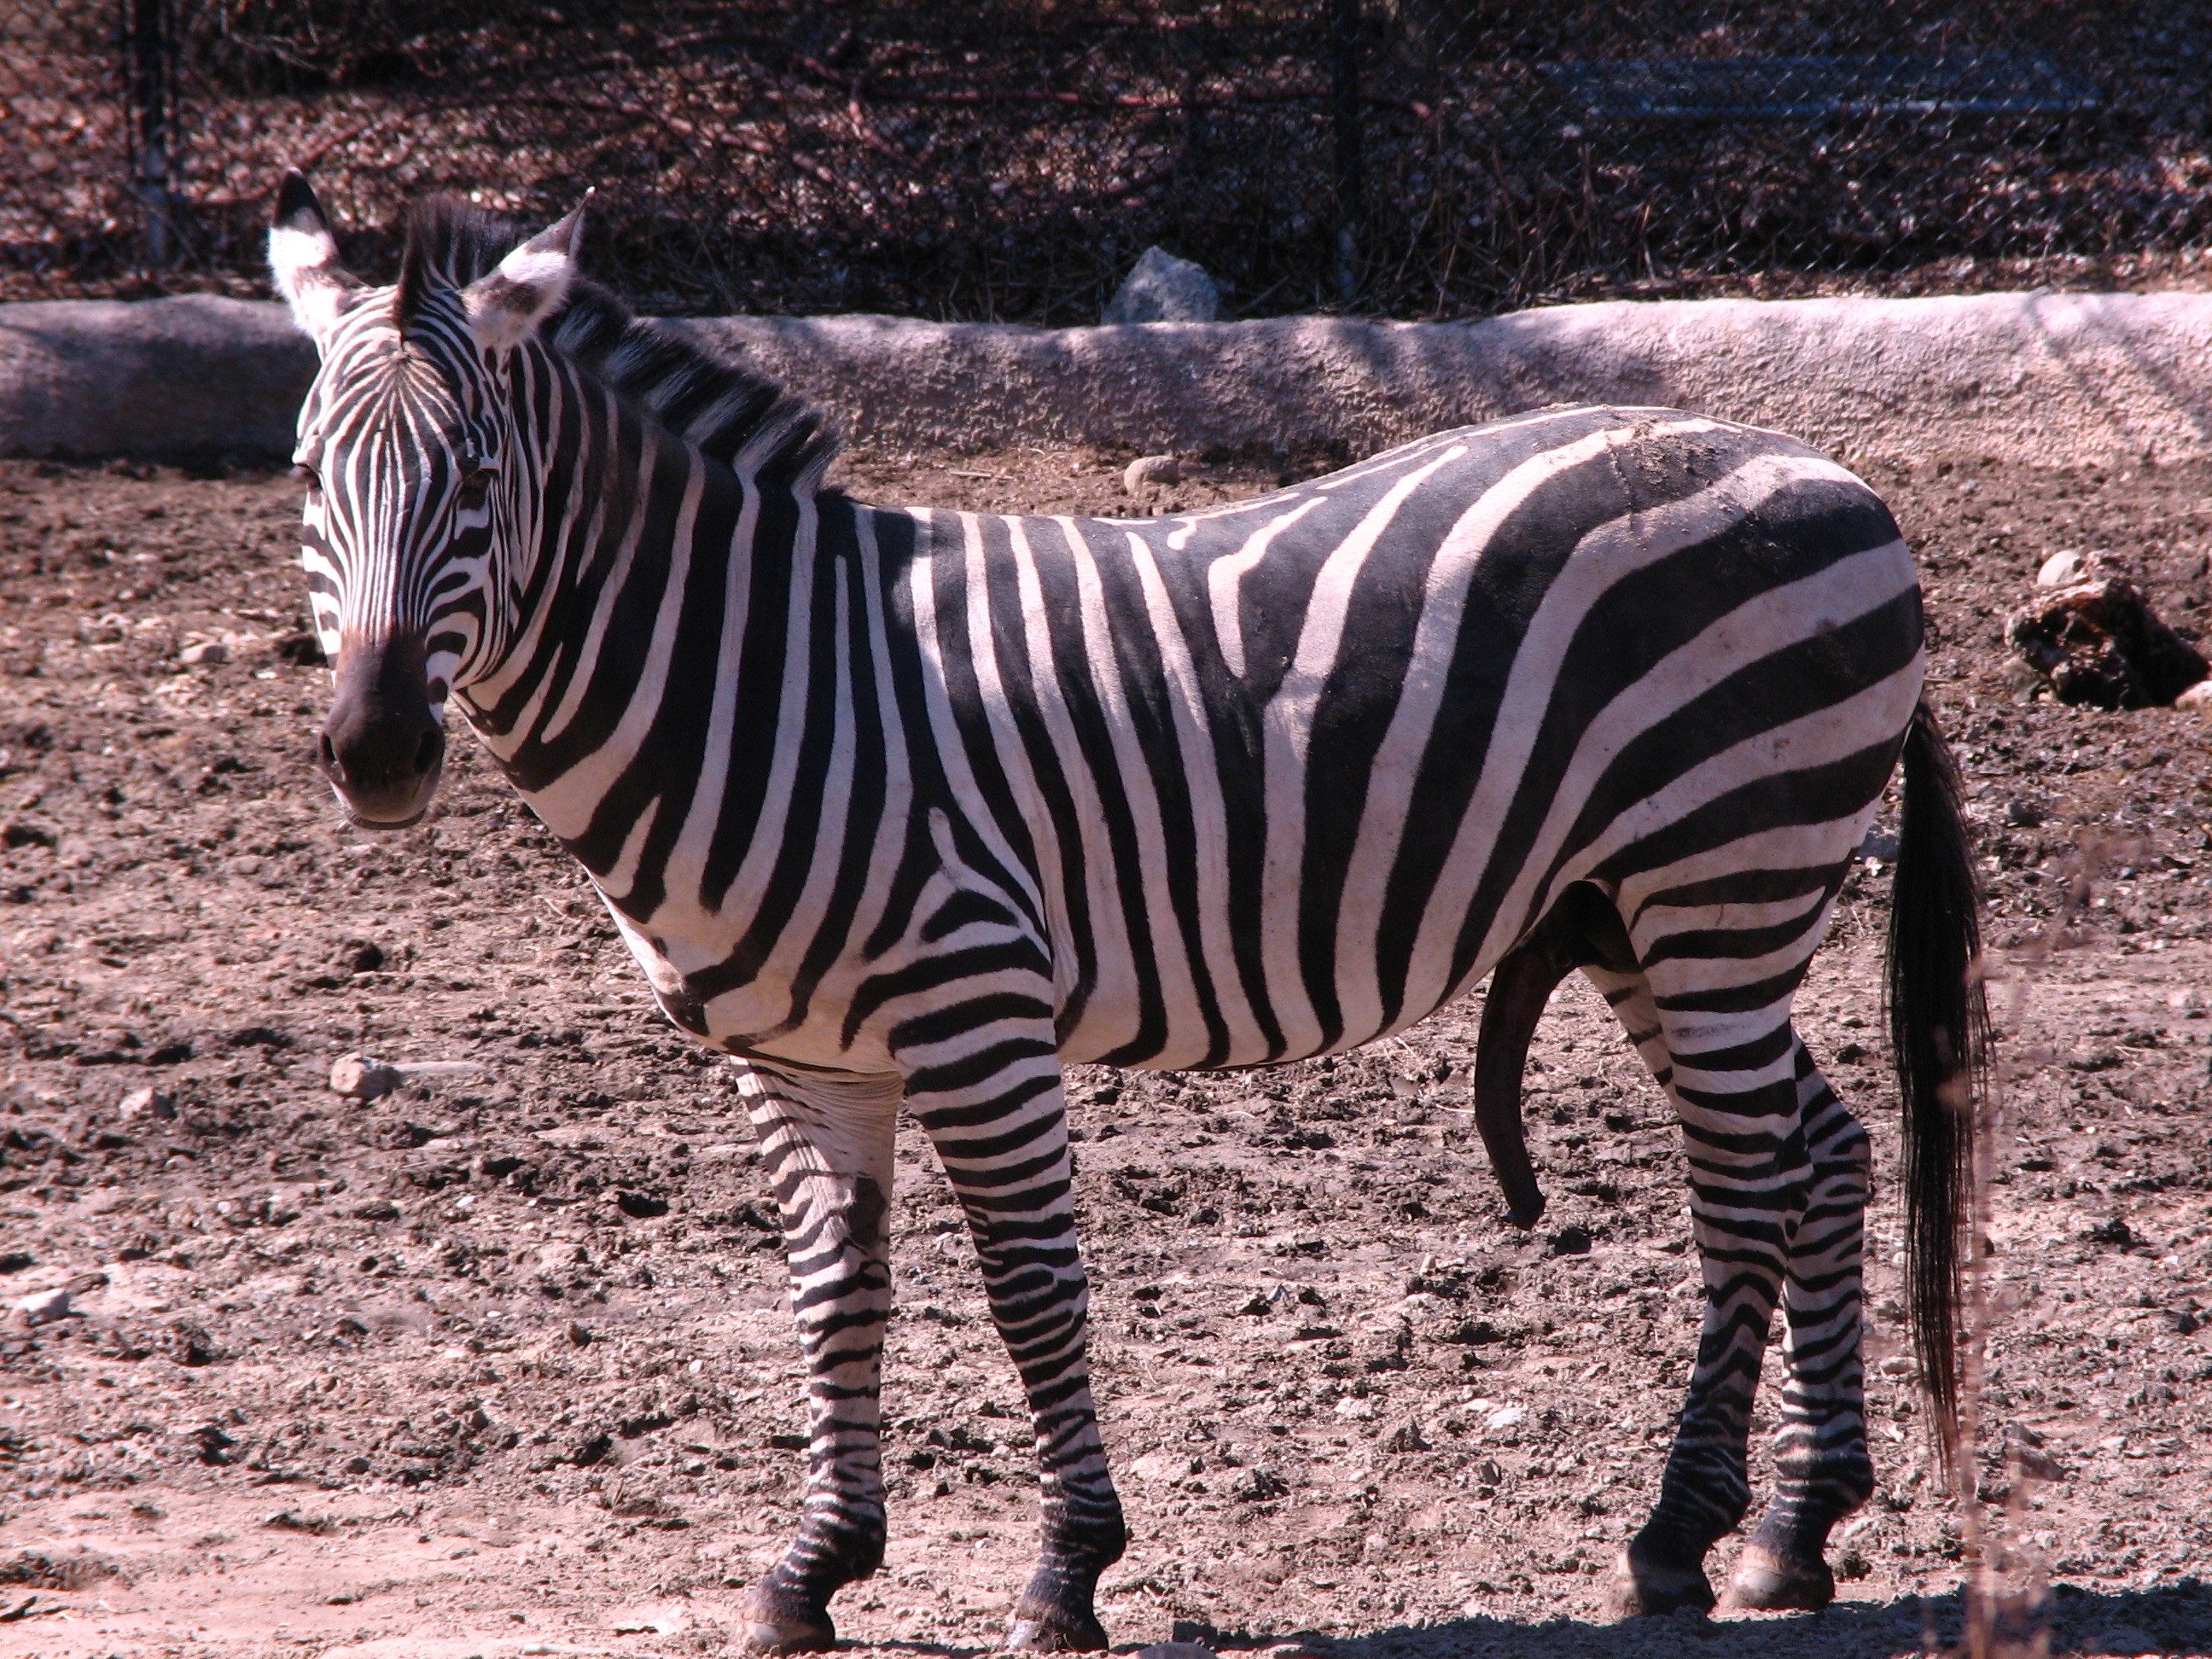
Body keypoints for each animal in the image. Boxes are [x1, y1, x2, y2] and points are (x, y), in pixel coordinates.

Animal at [267, 176, 1982, 1654]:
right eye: (303, 476)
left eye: (481, 478)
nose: (376, 751)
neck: (765, 677)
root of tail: (1828, 470)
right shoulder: (798, 1054)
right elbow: (835, 1290)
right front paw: (813, 1567)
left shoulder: (973, 1005)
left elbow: (1029, 1283)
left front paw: (1065, 1572)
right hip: (1653, 908)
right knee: (1822, 1147)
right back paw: (1792, 1530)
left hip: (1721, 870)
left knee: (1748, 1181)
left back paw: (1678, 1533)